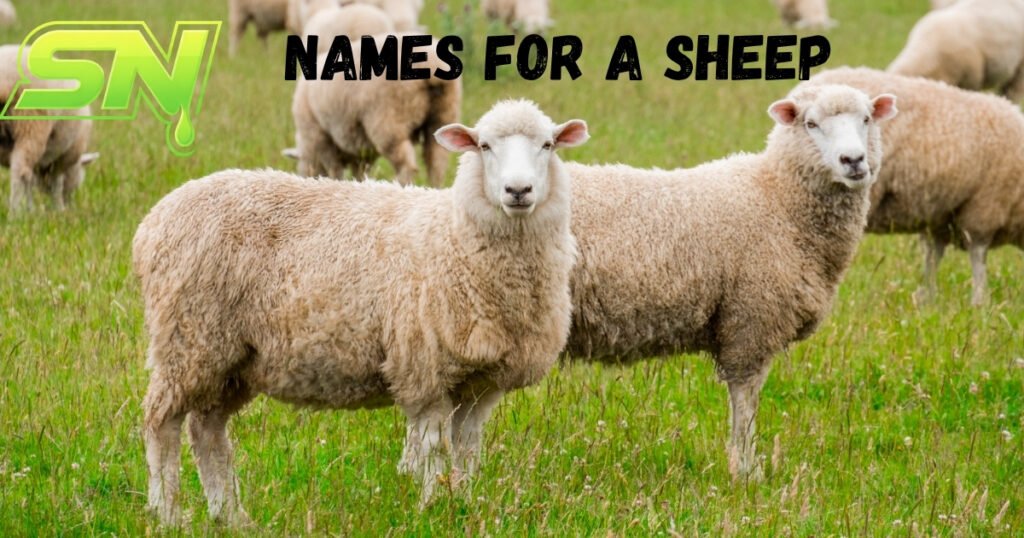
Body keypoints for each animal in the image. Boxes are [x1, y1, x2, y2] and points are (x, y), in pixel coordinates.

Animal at [0, 45, 99, 214]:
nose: (70, 203)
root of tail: (4, 76)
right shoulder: (65, 156)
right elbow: (55, 183)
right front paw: (59, 210)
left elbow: (31, 183)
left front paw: (31, 208)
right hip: (32, 123)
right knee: (20, 171)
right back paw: (15, 213)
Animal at [134, 99, 588, 526]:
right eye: (484, 146)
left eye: (547, 145)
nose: (518, 190)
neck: (456, 236)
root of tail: (154, 220)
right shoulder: (423, 369)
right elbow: (434, 449)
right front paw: (434, 507)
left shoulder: (480, 383)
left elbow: (466, 450)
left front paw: (463, 503)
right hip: (189, 338)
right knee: (162, 423)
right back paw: (167, 511)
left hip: (231, 359)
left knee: (206, 430)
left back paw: (230, 515)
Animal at [289, 33, 462, 186]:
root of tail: (431, 64)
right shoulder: (361, 150)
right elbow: (360, 173)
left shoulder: (320, 136)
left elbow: (335, 170)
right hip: (444, 113)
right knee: (437, 163)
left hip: (388, 118)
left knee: (407, 166)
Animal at [564, 85, 897, 480]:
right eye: (810, 123)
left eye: (866, 118)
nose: (853, 160)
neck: (777, 198)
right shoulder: (751, 320)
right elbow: (745, 400)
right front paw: (747, 471)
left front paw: (744, 466)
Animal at [809, 67, 1024, 306]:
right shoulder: (984, 208)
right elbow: (978, 255)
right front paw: (980, 300)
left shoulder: (939, 220)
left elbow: (933, 256)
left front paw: (926, 297)